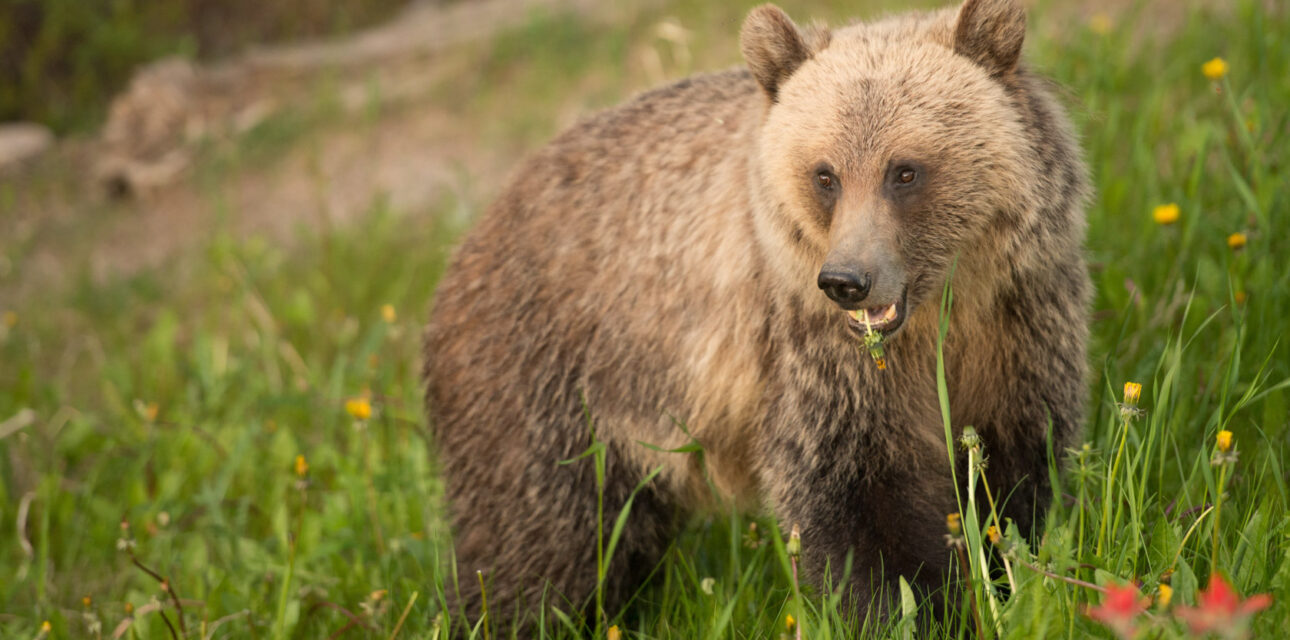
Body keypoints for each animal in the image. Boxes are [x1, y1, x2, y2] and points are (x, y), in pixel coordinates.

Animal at [423, 0, 1088, 629]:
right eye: (825, 174)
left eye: (905, 170)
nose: (847, 281)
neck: (943, 312)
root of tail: (469, 240)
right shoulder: (816, 357)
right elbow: (855, 498)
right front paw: (913, 606)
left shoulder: (1020, 322)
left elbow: (1015, 473)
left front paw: (1008, 578)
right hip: (549, 384)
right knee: (542, 539)